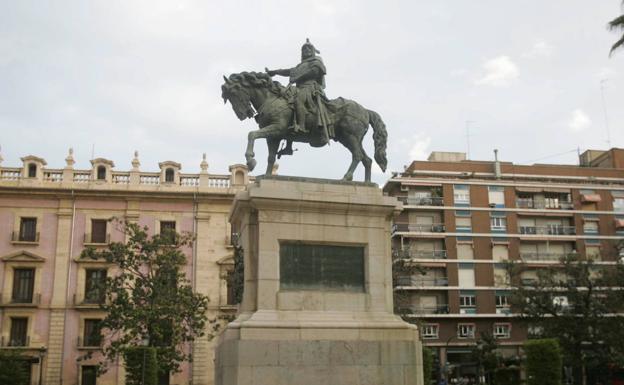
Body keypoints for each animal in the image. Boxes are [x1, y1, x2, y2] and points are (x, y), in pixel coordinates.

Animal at [219, 71, 386, 182]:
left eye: (234, 92)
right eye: (227, 97)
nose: (241, 115)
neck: (272, 98)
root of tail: (365, 111)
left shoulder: (277, 128)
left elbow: (251, 134)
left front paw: (251, 161)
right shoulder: (274, 136)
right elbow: (271, 157)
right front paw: (266, 175)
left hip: (350, 137)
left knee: (357, 155)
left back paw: (347, 177)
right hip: (349, 139)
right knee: (367, 159)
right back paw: (367, 183)